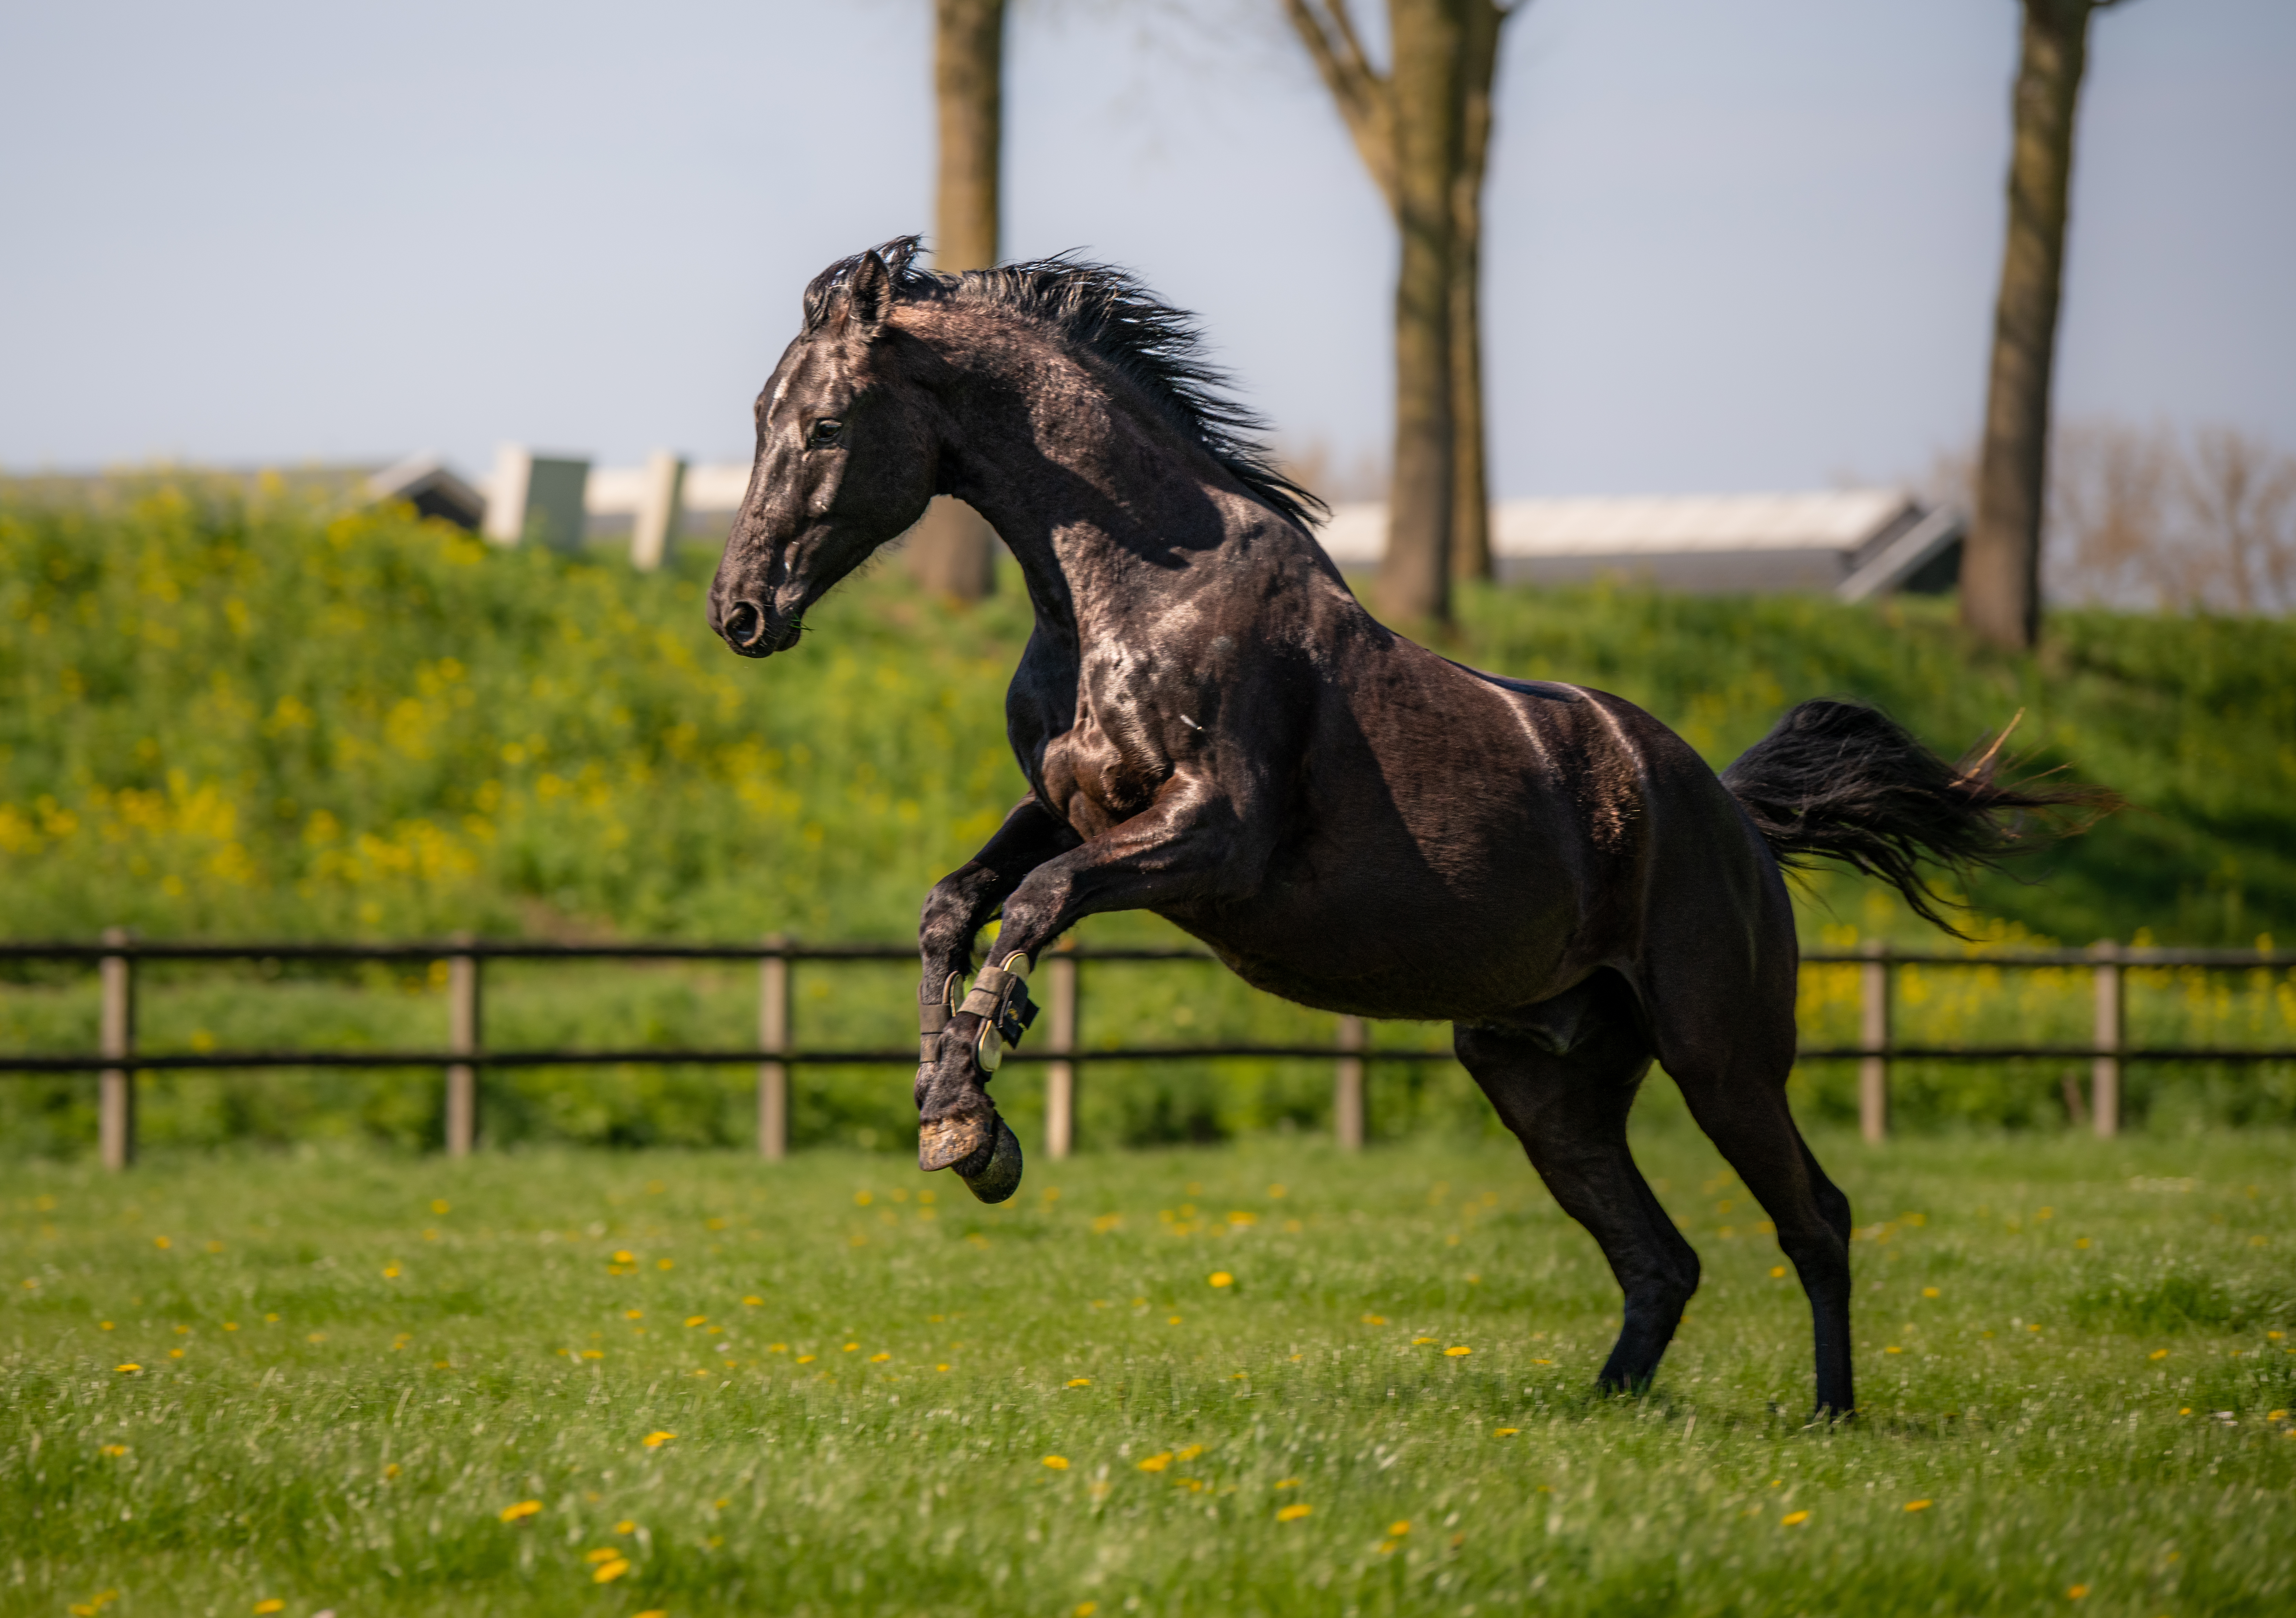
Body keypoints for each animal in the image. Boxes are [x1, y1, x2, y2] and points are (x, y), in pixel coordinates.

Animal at [707, 237, 2096, 1416]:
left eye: (824, 423)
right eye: (762, 418)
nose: (739, 611)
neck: (1138, 590)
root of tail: (1735, 816)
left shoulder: (1210, 840)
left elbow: (1038, 904)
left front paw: (977, 1118)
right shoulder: (1064, 805)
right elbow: (957, 902)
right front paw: (946, 1104)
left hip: (1721, 1058)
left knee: (1816, 1217)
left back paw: (1828, 1415)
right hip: (1541, 1079)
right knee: (1662, 1256)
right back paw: (1601, 1412)